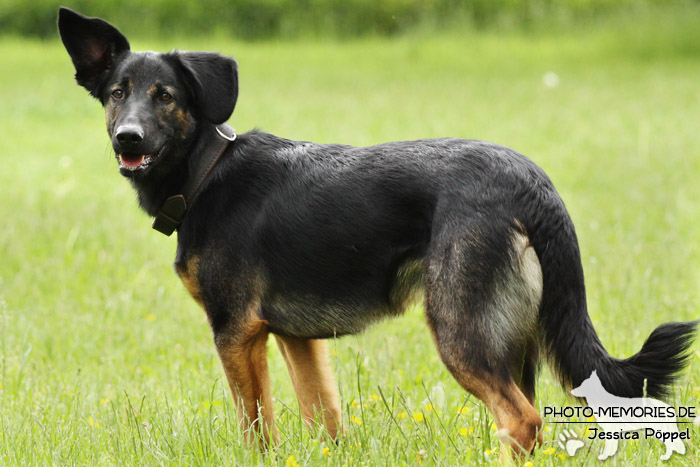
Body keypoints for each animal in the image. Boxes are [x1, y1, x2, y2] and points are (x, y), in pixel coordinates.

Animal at [57, 5, 696, 456]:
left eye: (164, 96)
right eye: (117, 95)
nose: (128, 138)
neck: (207, 169)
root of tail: (532, 184)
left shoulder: (237, 334)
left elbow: (257, 429)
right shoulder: (299, 340)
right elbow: (324, 419)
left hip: (461, 328)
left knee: (520, 420)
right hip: (513, 340)